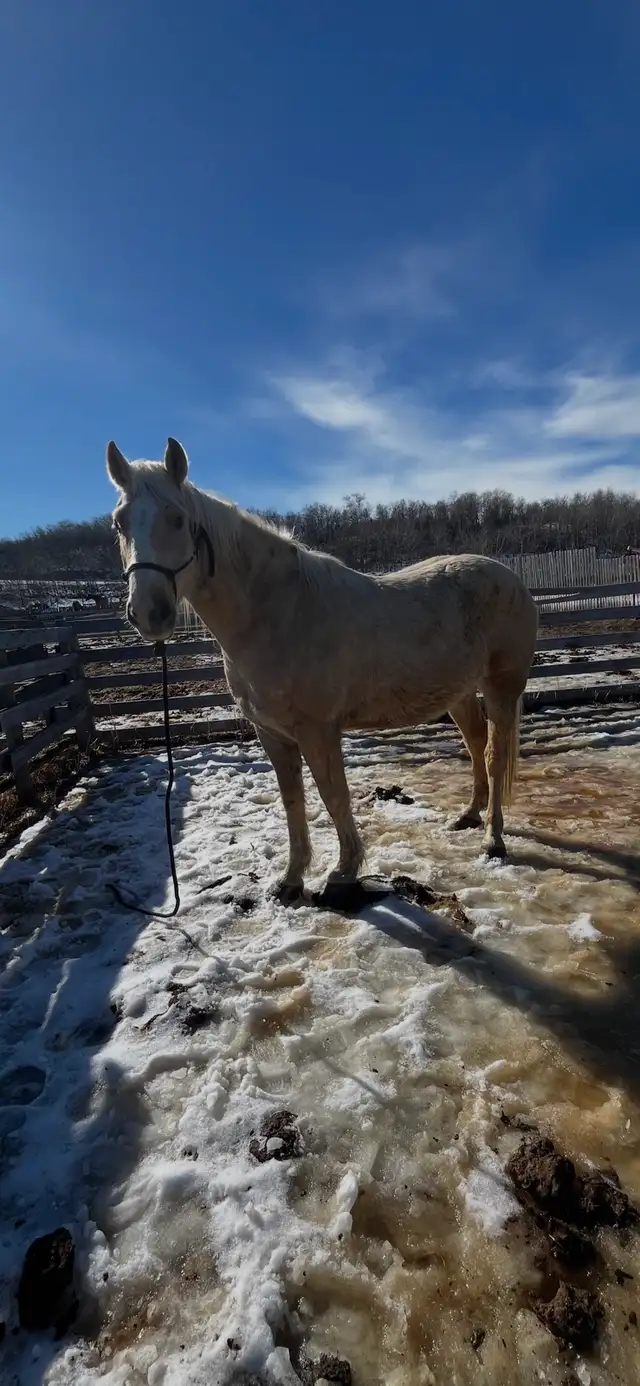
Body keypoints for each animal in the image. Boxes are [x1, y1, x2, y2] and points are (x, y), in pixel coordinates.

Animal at [106, 438, 538, 900]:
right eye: (119, 523)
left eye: (178, 519)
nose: (149, 613)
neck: (279, 612)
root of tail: (510, 578)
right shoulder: (272, 734)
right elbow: (293, 801)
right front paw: (291, 880)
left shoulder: (318, 730)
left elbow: (334, 796)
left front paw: (343, 871)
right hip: (458, 692)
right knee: (476, 744)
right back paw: (469, 816)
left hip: (501, 688)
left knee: (494, 755)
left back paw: (493, 840)